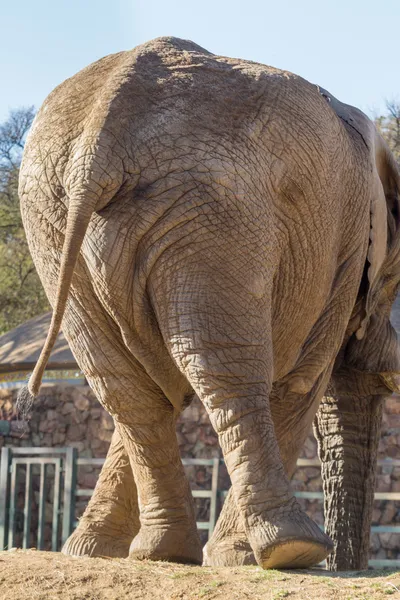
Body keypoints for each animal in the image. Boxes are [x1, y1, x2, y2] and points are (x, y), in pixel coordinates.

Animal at [17, 35, 400, 568]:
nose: (346, 566)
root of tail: (100, 139)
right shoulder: (340, 255)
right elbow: (300, 379)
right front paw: (242, 558)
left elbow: (160, 387)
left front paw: (93, 551)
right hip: (219, 214)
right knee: (226, 370)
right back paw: (290, 549)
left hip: (59, 222)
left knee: (123, 385)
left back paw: (161, 552)